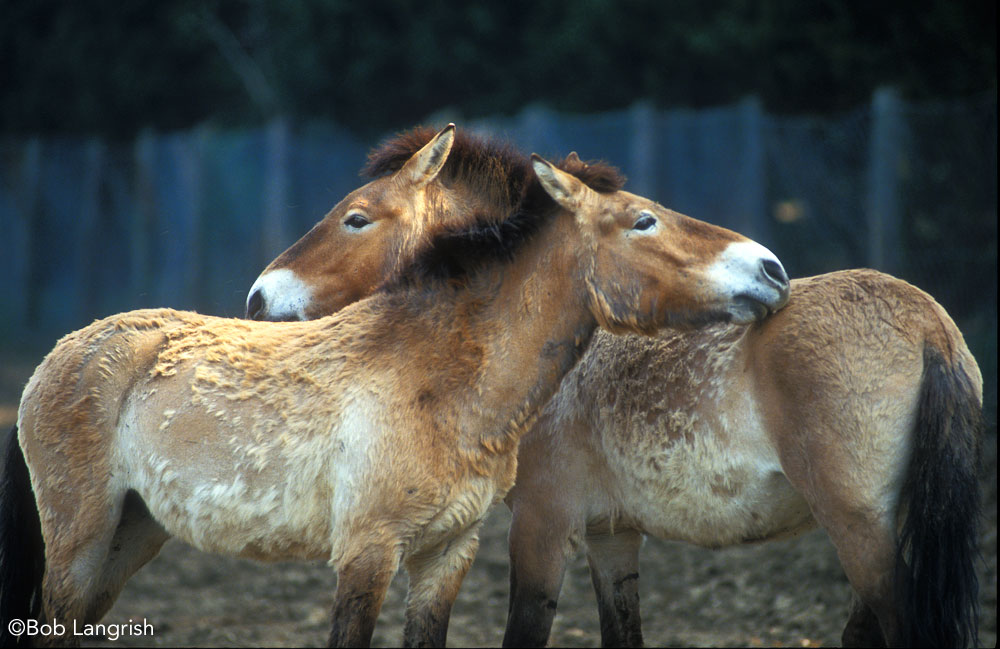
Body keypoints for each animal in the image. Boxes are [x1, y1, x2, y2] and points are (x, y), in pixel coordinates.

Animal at [0, 124, 788, 644]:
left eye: (357, 217)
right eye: (643, 220)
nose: (771, 269)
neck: (440, 378)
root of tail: (61, 353)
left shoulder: (448, 553)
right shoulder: (368, 553)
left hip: (131, 534)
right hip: (80, 539)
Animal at [244, 135, 984, 644]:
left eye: (357, 218)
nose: (258, 296)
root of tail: (930, 325)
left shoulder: (543, 527)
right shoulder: (612, 537)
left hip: (860, 529)